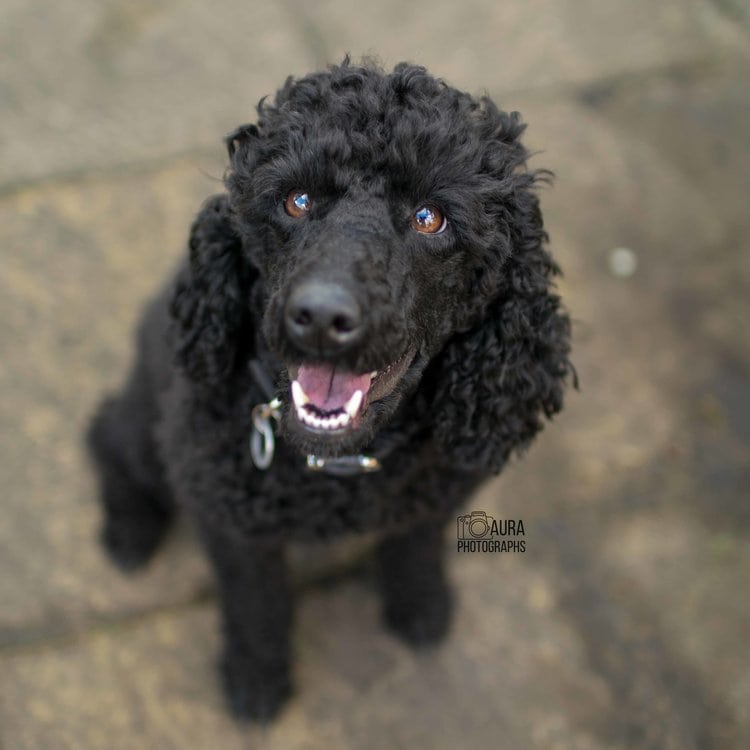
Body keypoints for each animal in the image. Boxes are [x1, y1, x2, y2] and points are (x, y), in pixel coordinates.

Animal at [88, 58, 572, 724]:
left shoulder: (430, 497)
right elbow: (257, 606)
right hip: (150, 429)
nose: (319, 317)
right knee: (108, 434)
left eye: (430, 217)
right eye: (296, 201)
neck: (334, 467)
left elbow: (414, 547)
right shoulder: (236, 529)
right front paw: (257, 679)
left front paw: (420, 607)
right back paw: (130, 531)